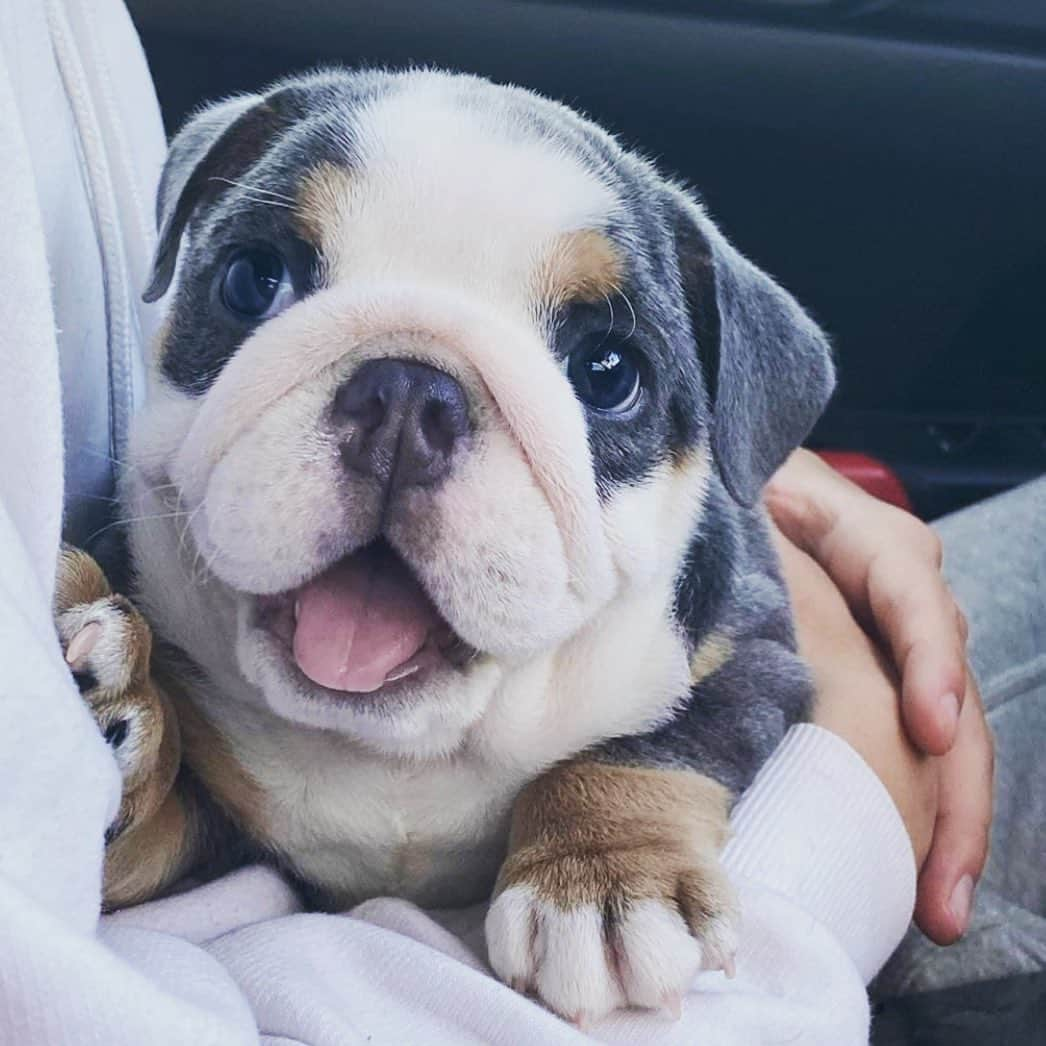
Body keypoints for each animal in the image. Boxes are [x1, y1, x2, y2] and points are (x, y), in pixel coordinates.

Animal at [61, 71, 836, 1020]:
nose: (407, 392)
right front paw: (124, 717)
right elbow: (164, 825)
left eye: (609, 373)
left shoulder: (754, 653)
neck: (407, 747)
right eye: (251, 279)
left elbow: (659, 742)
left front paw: (603, 883)